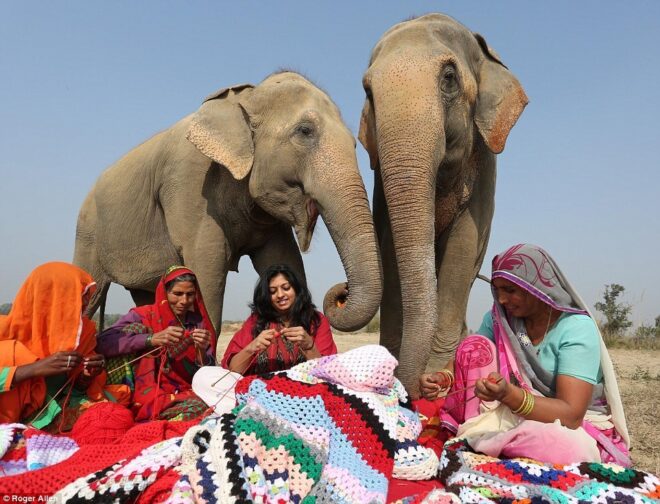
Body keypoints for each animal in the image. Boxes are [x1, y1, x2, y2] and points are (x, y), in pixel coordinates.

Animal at [74, 71, 382, 351]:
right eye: (305, 131)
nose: (342, 291)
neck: (247, 98)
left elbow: (283, 259)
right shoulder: (191, 184)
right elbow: (208, 266)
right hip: (87, 233)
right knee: (90, 296)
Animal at [358, 14, 528, 396]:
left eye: (449, 77)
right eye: (368, 92)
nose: (414, 388)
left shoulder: (483, 172)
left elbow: (462, 250)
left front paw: (439, 379)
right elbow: (389, 249)